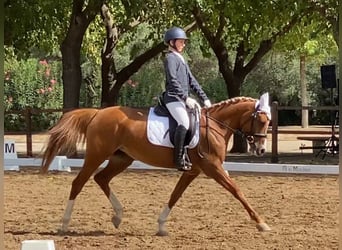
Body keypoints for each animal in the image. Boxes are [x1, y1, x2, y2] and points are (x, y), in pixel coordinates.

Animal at [40, 94, 272, 235]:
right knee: (79, 183)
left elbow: (175, 195)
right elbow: (237, 191)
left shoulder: (192, 171)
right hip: (97, 155)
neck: (215, 126)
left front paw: (161, 226)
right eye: (261, 121)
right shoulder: (212, 168)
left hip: (122, 158)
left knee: (101, 178)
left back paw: (118, 216)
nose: (261, 150)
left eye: (268, 121)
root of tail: (98, 113)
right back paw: (64, 224)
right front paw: (261, 223)